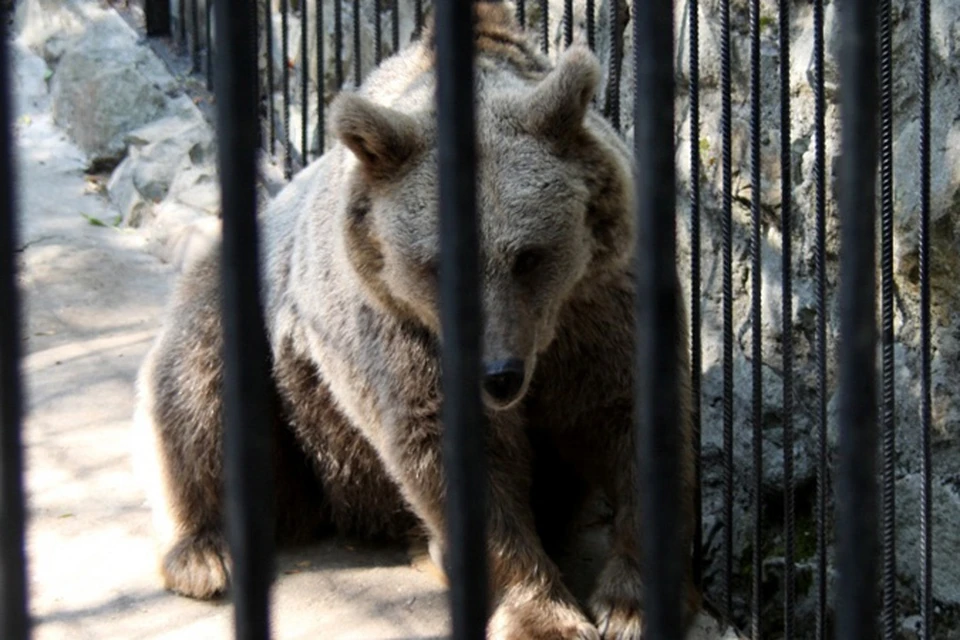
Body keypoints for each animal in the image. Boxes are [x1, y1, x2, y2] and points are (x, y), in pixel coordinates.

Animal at [129, 2, 696, 636]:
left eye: (529, 256)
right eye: (437, 264)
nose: (498, 376)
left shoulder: (600, 305)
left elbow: (633, 415)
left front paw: (632, 600)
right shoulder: (400, 329)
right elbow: (448, 452)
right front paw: (542, 614)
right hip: (266, 341)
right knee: (196, 386)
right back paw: (202, 551)